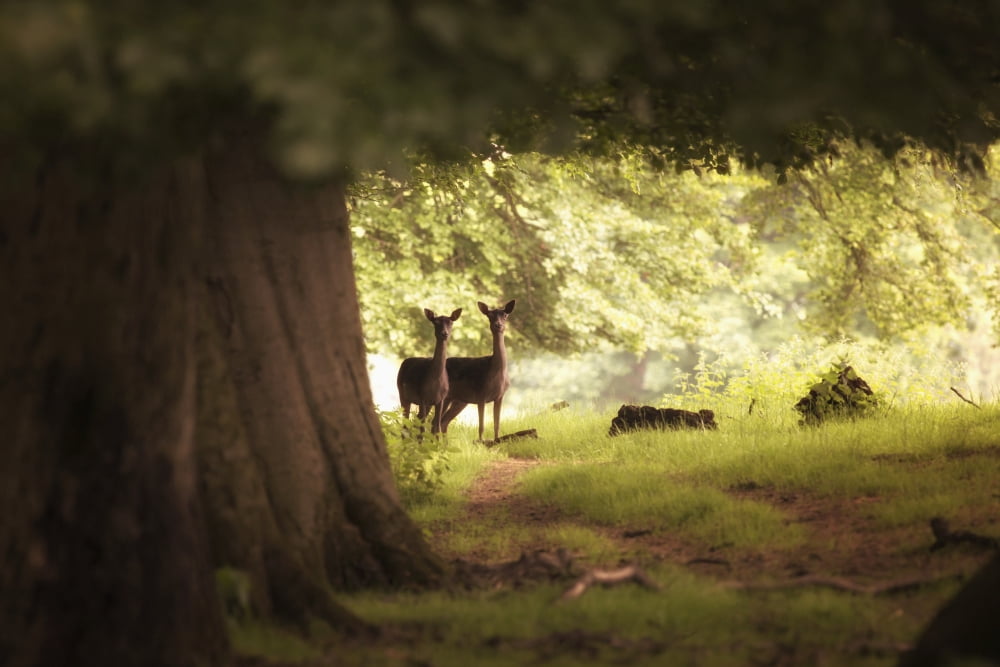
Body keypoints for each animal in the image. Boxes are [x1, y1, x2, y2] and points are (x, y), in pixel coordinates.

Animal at [439, 299, 515, 443]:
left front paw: (497, 440)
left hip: (459, 400)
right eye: (489, 315)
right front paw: (481, 442)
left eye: (505, 315)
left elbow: (497, 424)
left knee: (443, 421)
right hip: (446, 396)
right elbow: (481, 425)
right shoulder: (481, 394)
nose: (498, 325)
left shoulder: (500, 396)